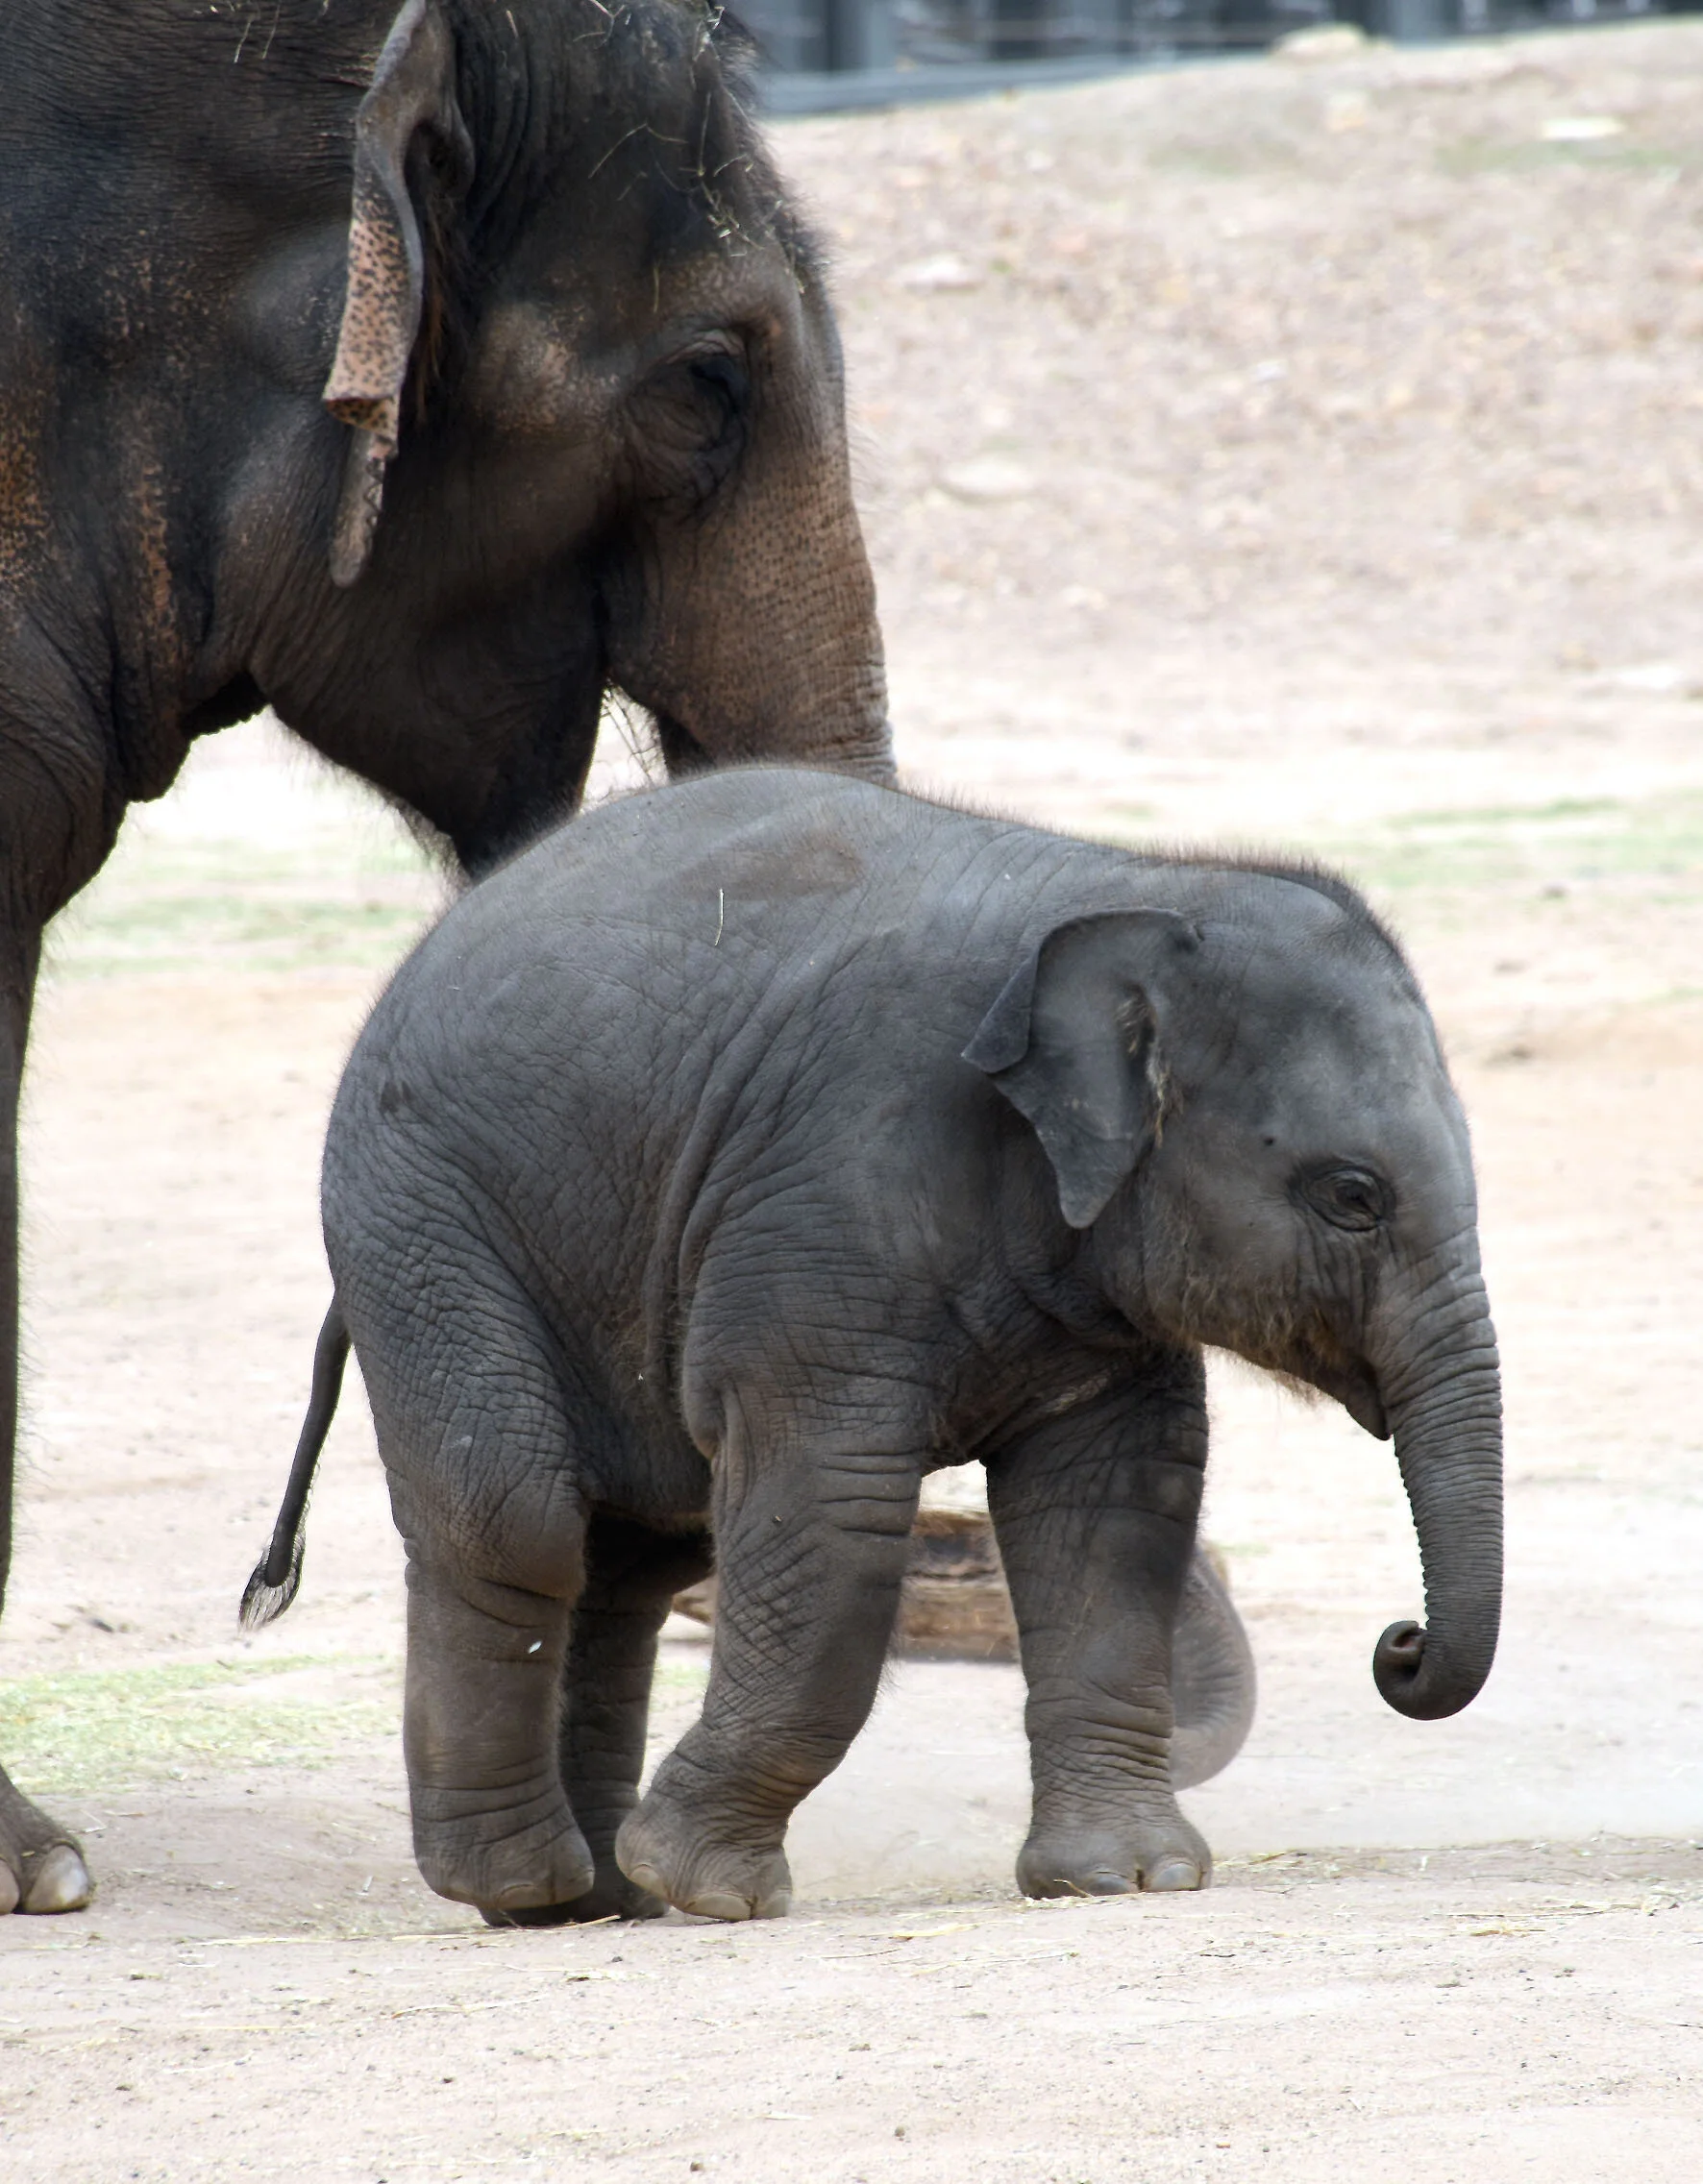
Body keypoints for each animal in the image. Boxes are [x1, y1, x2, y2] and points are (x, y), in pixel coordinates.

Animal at [249, 766, 1503, 1925]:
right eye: (1351, 1196)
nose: (1397, 1644)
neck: (1137, 888)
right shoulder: (826, 1190)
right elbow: (831, 1506)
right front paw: (710, 1886)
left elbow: (1112, 1506)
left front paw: (1127, 1878)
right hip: (417, 1216)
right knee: (517, 1515)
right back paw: (528, 1885)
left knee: (631, 1557)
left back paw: (603, 1895)